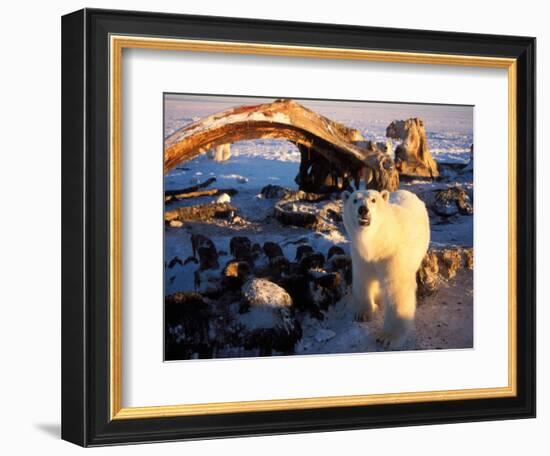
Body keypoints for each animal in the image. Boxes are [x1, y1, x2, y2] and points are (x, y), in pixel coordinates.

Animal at [344, 189, 432, 350]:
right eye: (354, 200)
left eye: (373, 200)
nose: (363, 209)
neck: (378, 242)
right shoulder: (361, 256)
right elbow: (363, 278)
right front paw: (363, 313)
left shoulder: (392, 254)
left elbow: (397, 290)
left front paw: (387, 338)